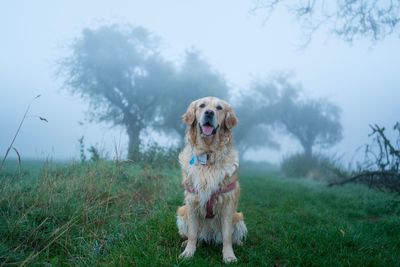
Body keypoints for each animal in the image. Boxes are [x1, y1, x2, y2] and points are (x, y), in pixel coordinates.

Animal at [176, 97, 245, 264]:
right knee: (195, 236)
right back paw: (187, 243)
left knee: (231, 236)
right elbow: (192, 234)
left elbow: (227, 236)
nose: (209, 113)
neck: (208, 155)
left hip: (239, 217)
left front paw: (229, 256)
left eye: (219, 108)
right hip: (182, 212)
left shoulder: (228, 203)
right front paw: (188, 253)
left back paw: (238, 243)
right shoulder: (192, 202)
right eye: (202, 106)